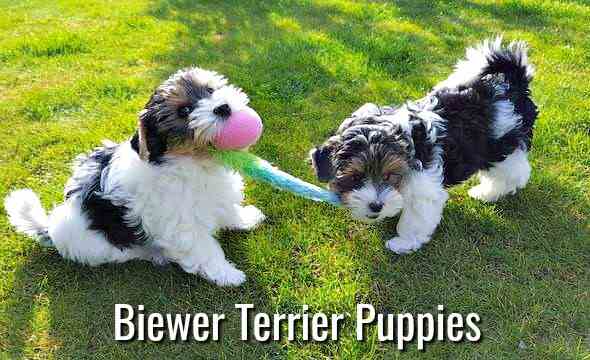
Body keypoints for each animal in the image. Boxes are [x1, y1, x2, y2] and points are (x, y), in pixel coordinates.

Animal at [4, 67, 266, 286]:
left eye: (210, 90)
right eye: (184, 111)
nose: (223, 107)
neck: (193, 160)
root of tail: (50, 227)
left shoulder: (216, 195)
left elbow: (227, 209)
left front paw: (245, 219)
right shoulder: (181, 225)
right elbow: (204, 250)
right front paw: (228, 274)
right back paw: (154, 254)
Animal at [312, 38, 540, 253]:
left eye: (389, 175)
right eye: (355, 177)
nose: (376, 206)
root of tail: (512, 83)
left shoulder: (423, 187)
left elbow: (415, 217)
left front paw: (403, 242)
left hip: (502, 146)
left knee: (514, 172)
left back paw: (487, 193)